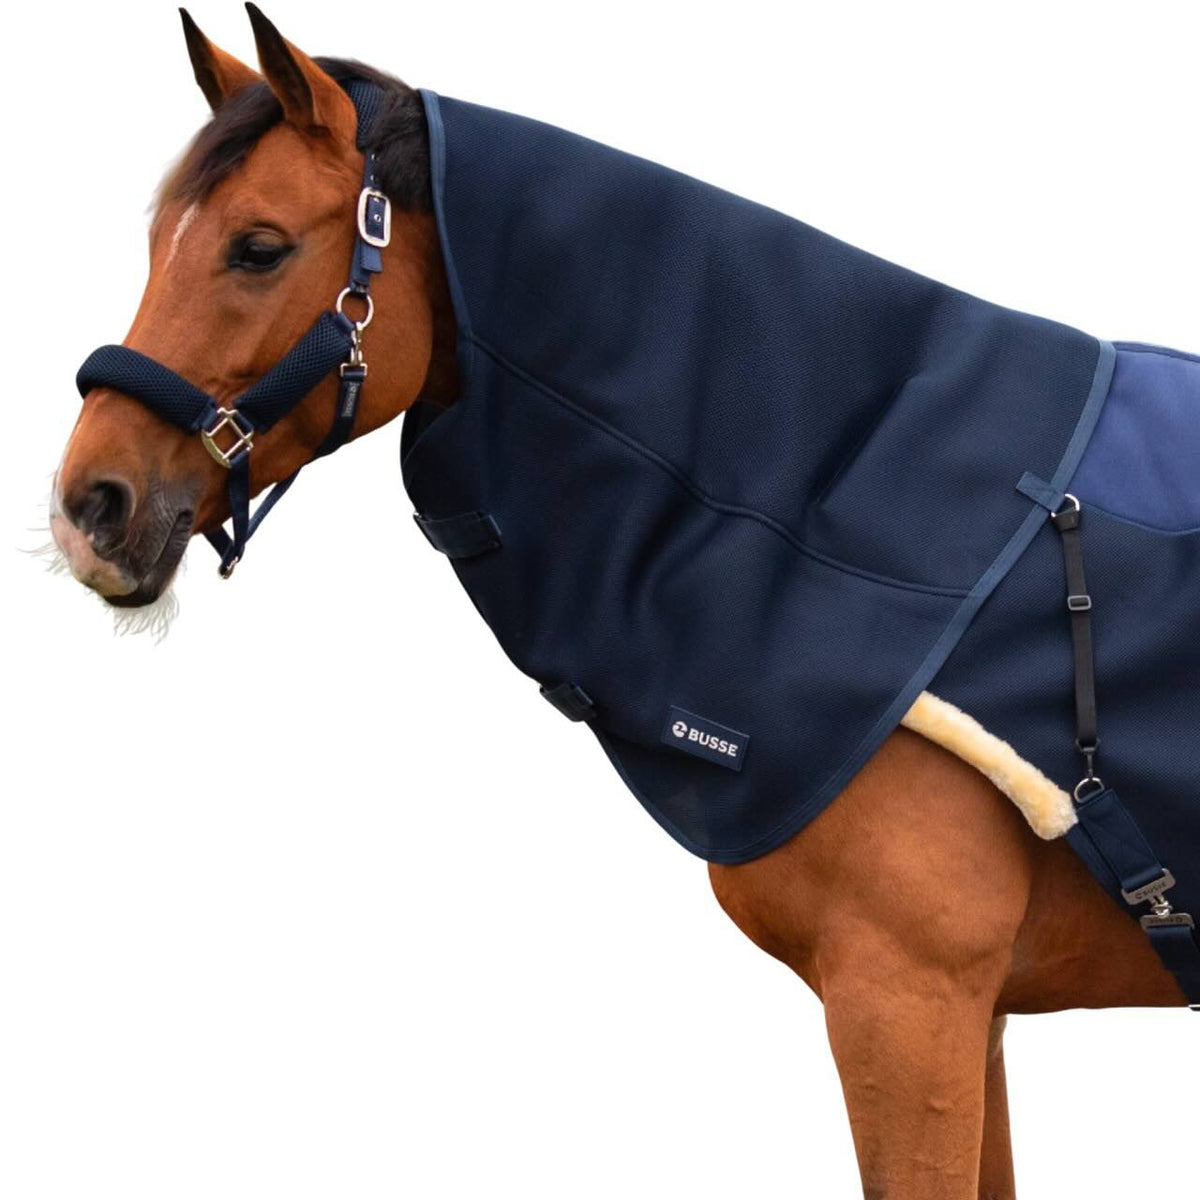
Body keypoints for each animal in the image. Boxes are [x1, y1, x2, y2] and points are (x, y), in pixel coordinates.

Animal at [49, 8, 1190, 1198]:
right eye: (155, 243)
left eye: (259, 247)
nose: (88, 505)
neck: (820, 495)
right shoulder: (974, 1016)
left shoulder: (912, 1000)